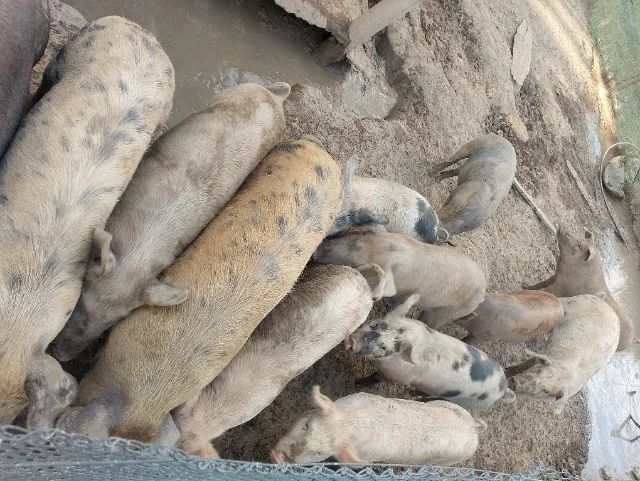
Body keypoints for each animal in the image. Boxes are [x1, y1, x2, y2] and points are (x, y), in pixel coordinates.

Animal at [270, 386, 483, 465]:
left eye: (319, 453)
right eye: (306, 425)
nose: (276, 457)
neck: (350, 424)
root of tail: (473, 428)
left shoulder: (367, 457)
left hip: (449, 461)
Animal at [347, 294, 515, 410]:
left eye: (383, 347)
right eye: (374, 325)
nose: (351, 341)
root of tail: (503, 388)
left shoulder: (397, 376)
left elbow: (375, 378)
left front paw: (357, 383)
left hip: (462, 401)